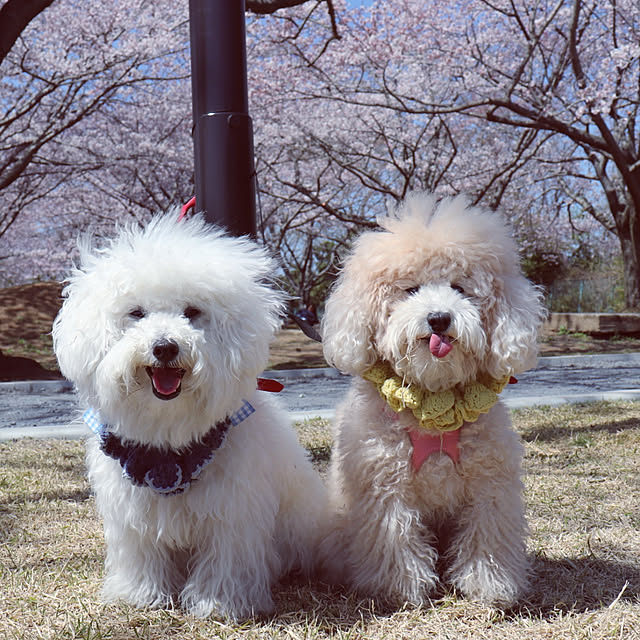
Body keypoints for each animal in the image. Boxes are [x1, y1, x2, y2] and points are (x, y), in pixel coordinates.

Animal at [51, 214, 324, 620]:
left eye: (192, 312)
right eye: (136, 313)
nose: (164, 347)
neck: (170, 429)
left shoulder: (231, 511)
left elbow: (225, 560)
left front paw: (219, 604)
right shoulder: (134, 511)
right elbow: (143, 554)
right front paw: (142, 595)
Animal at [322, 192, 544, 608]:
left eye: (460, 287)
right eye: (410, 290)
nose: (439, 318)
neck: (434, 400)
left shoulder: (489, 484)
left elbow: (488, 536)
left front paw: (489, 586)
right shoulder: (386, 486)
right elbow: (396, 536)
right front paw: (400, 589)